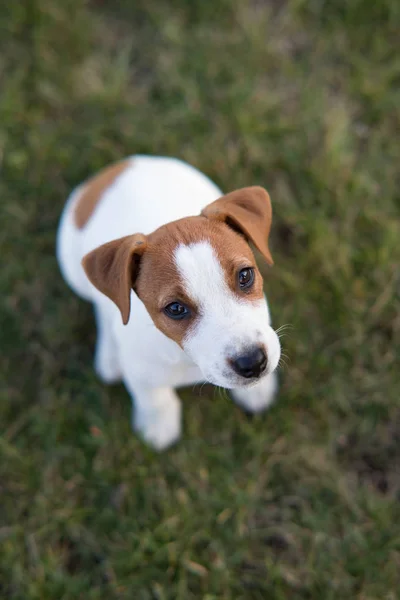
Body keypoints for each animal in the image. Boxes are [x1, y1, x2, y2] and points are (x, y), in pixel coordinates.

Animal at [56, 157, 282, 448]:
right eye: (175, 309)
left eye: (245, 276)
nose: (253, 363)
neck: (186, 359)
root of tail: (123, 164)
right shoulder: (141, 372)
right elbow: (155, 399)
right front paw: (158, 428)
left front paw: (259, 391)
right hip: (73, 269)